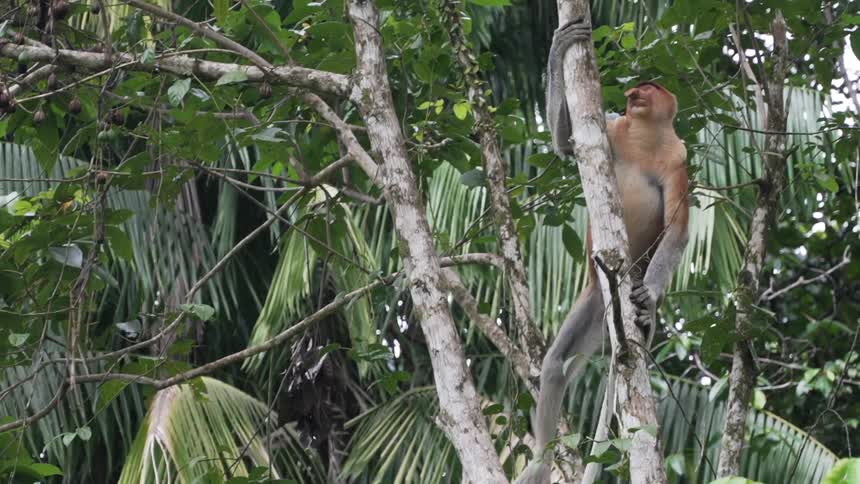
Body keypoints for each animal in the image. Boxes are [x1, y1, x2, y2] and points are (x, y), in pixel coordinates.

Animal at [517, 18, 689, 484]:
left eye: (650, 86)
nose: (633, 92)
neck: (647, 137)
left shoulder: (679, 160)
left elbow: (677, 231)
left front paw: (650, 296)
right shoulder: (610, 127)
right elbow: (566, 143)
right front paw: (560, 46)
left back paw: (644, 312)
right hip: (596, 299)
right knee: (555, 364)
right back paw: (540, 462)